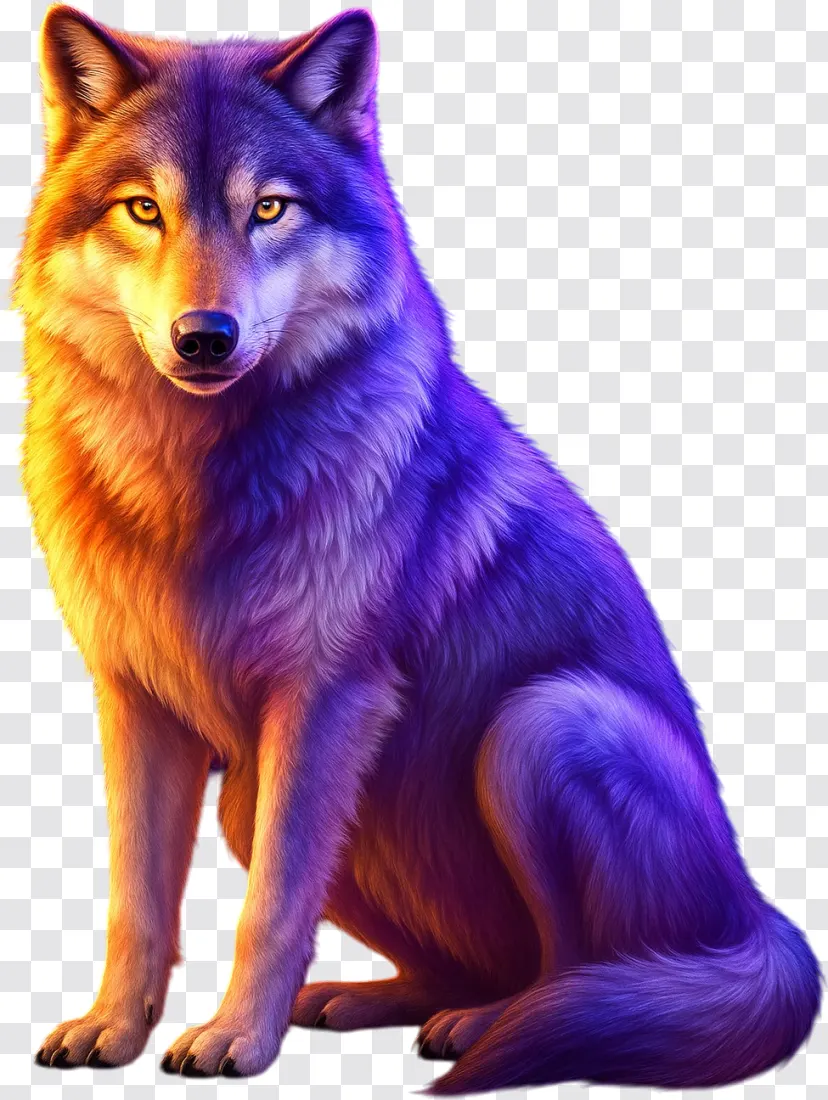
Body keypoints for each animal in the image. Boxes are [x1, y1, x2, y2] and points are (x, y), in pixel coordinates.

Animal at [15, 2, 821, 1091]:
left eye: (269, 210)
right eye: (143, 210)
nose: (205, 336)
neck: (189, 481)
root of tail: (759, 916)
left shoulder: (325, 698)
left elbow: (272, 907)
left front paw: (234, 1041)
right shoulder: (135, 702)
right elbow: (135, 902)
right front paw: (113, 1027)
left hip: (541, 726)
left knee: (570, 969)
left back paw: (484, 1029)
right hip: (254, 799)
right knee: (457, 963)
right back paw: (365, 999)